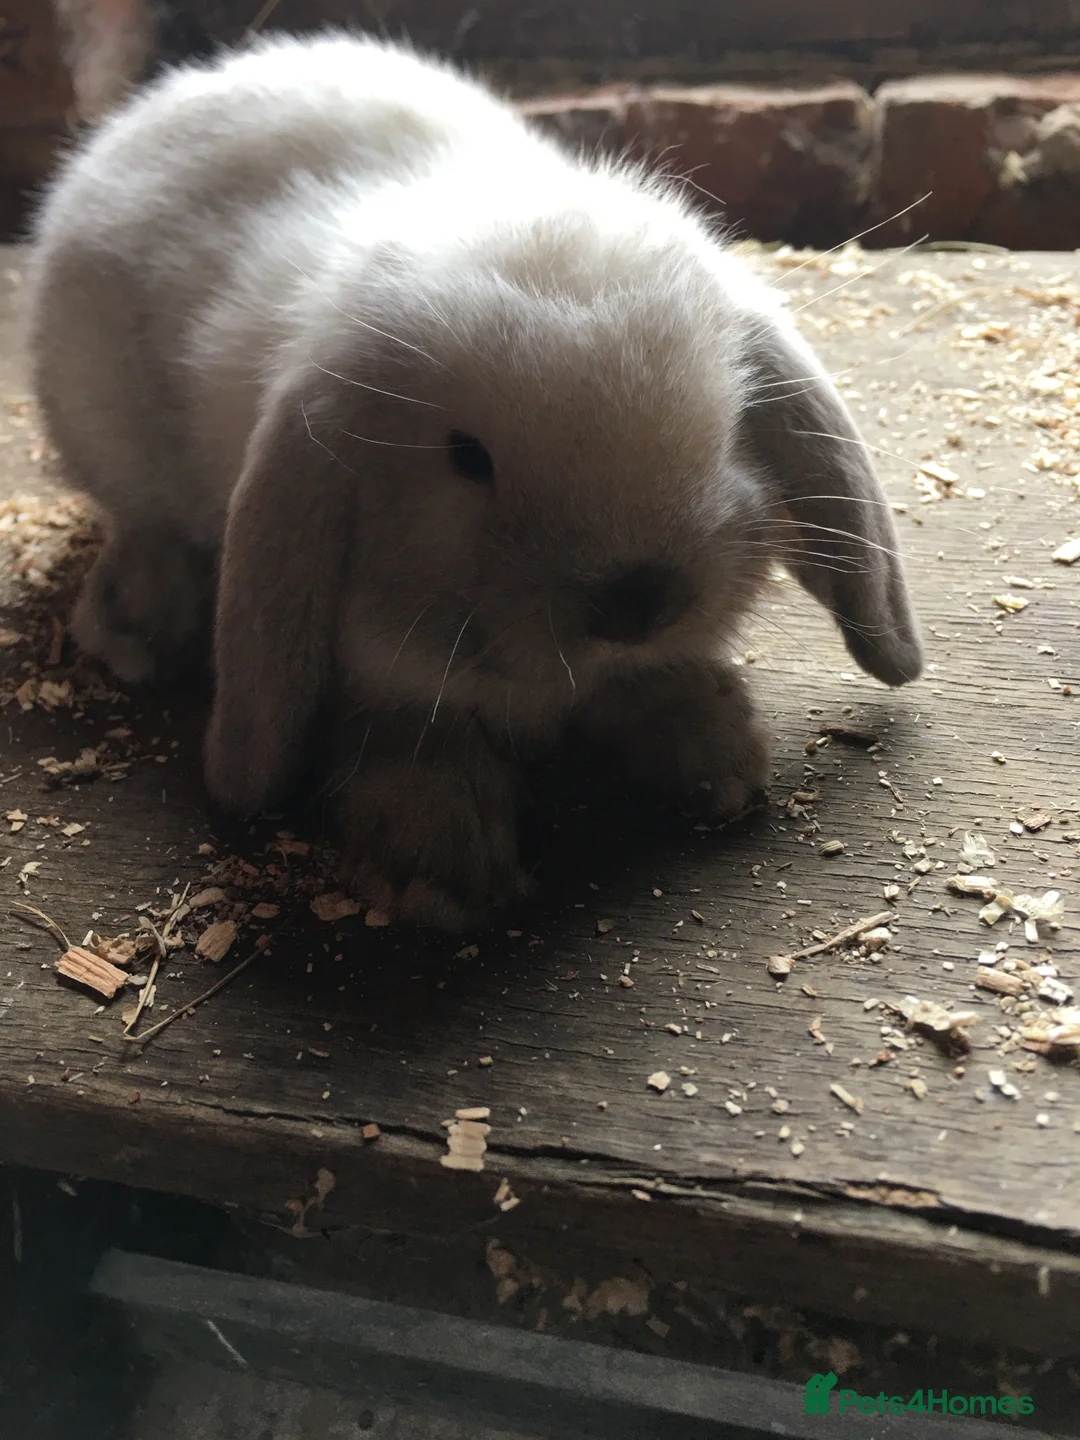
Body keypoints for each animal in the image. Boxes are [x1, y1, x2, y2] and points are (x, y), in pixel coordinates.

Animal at [25, 31, 923, 930]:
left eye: (729, 417)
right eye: (466, 456)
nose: (637, 601)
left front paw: (716, 757)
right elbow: (410, 735)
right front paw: (444, 869)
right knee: (145, 524)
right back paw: (140, 622)